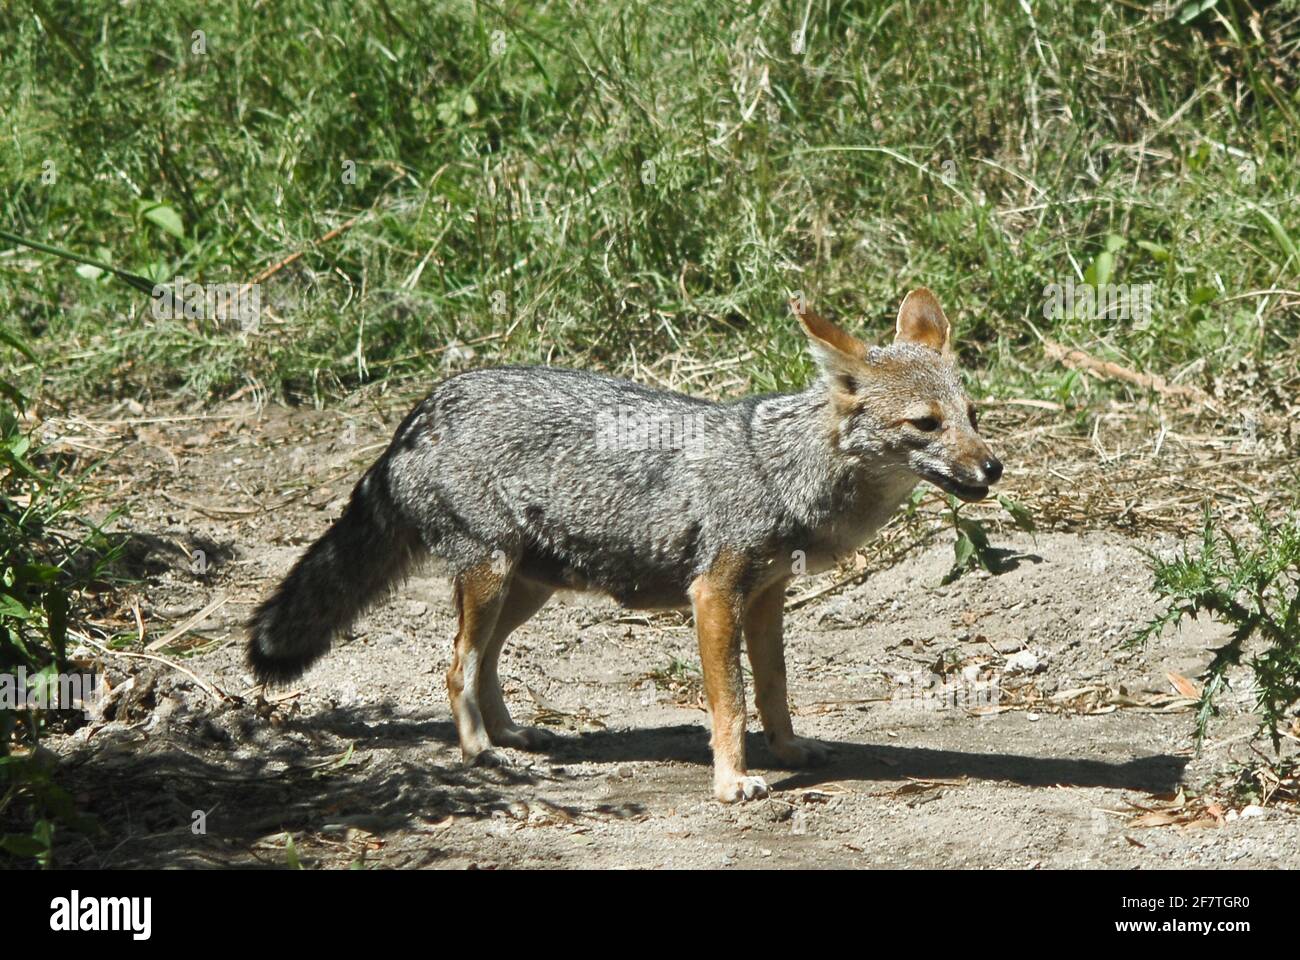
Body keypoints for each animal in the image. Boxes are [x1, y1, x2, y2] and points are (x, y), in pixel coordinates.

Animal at [253, 287, 1003, 796]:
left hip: (525, 591)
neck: (780, 470)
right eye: (926, 424)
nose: (993, 467)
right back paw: (481, 753)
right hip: (491, 579)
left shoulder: (767, 597)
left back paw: (512, 733)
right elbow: (729, 704)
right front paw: (732, 783)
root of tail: (420, 412)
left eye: (973, 416)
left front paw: (789, 751)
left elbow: (774, 689)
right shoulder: (713, 596)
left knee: (485, 663)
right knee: (454, 668)